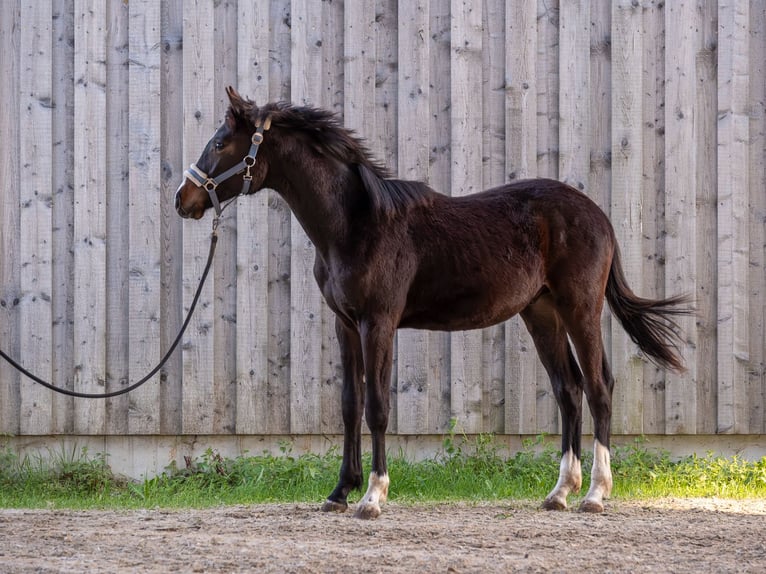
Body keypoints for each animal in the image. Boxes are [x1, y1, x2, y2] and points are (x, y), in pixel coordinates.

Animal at [175, 87, 691, 518]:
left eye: (219, 143)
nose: (184, 200)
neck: (356, 224)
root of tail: (599, 215)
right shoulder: (346, 324)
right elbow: (349, 404)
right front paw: (339, 492)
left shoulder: (377, 322)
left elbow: (377, 406)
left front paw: (373, 496)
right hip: (542, 314)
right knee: (569, 390)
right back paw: (559, 492)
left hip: (579, 308)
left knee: (600, 387)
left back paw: (596, 494)